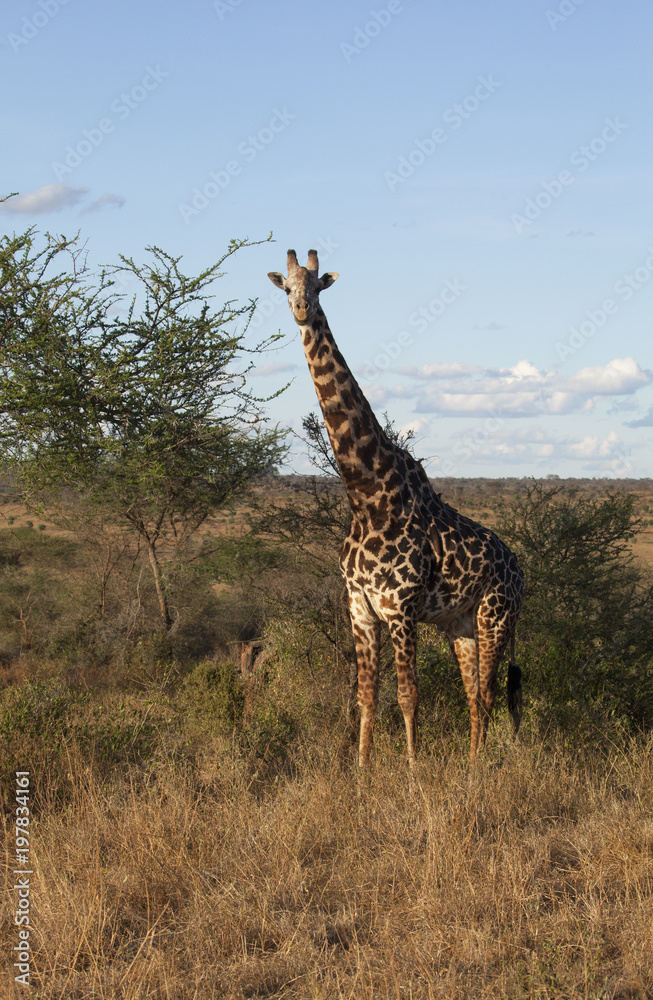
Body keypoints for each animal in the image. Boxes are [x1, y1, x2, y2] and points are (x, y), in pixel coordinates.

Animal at [268, 250, 524, 766]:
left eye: (318, 286)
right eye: (286, 286)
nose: (302, 310)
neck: (367, 494)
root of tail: (523, 573)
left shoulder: (400, 608)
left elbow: (408, 695)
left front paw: (413, 772)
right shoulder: (361, 608)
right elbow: (367, 695)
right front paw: (362, 772)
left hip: (496, 616)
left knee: (488, 694)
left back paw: (479, 772)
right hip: (459, 623)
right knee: (474, 695)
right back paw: (470, 769)